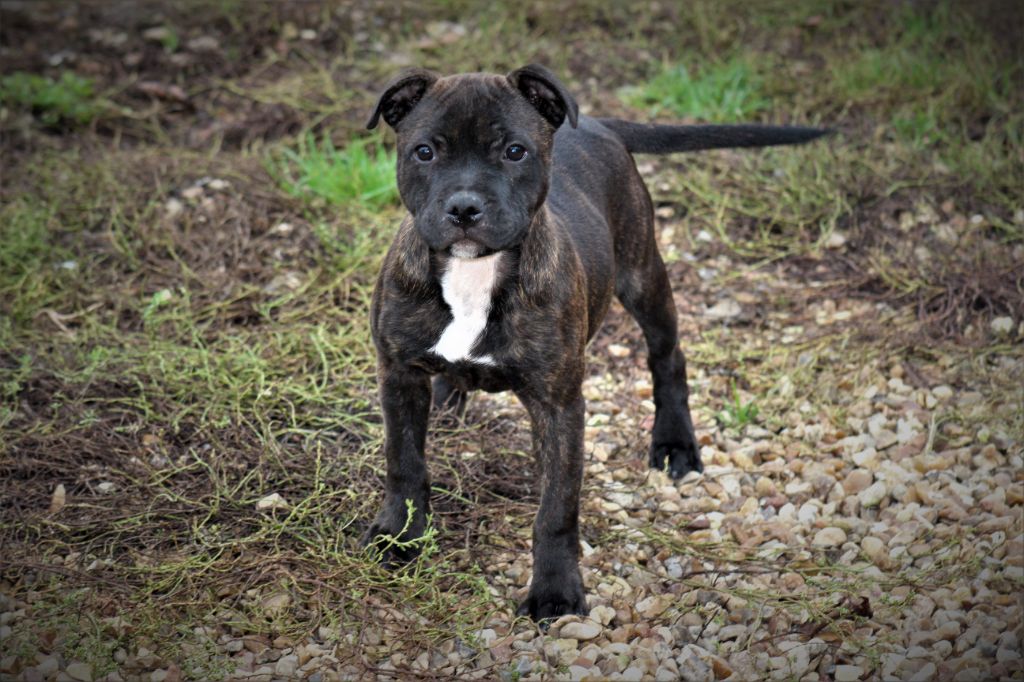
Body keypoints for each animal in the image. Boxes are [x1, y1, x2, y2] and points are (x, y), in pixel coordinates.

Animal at [360, 66, 823, 618]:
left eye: (514, 151)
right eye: (425, 152)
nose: (465, 207)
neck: (474, 275)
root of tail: (599, 124)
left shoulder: (560, 404)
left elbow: (557, 505)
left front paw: (555, 589)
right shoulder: (399, 374)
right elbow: (404, 464)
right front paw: (400, 536)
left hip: (644, 276)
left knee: (667, 357)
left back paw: (675, 442)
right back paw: (450, 399)